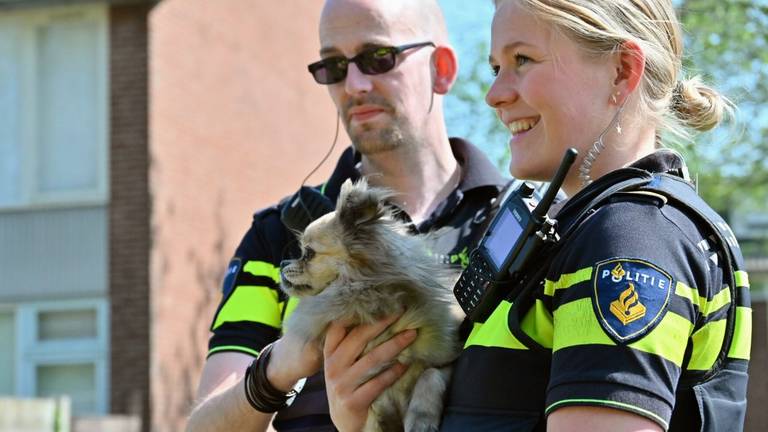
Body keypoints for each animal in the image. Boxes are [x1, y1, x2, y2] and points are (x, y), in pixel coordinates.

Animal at [280, 179, 462, 432]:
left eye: (308, 254)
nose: (282, 263)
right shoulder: (372, 410)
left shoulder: (446, 360)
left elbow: (430, 375)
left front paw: (421, 418)